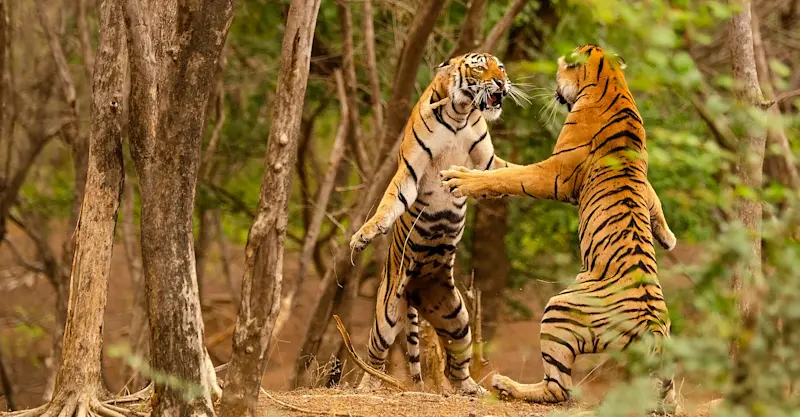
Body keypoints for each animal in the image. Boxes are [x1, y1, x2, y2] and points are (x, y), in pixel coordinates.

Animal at [349, 52, 525, 395]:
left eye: (501, 67)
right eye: (480, 67)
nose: (502, 82)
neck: (460, 115)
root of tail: (415, 291)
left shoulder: (487, 163)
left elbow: (511, 172)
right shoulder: (410, 170)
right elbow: (389, 201)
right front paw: (365, 233)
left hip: (457, 318)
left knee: (457, 364)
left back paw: (472, 389)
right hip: (386, 317)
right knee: (375, 356)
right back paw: (367, 386)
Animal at [440, 44, 680, 412]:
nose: (554, 90)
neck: (611, 82)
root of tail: (652, 325)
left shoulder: (553, 173)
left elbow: (508, 175)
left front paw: (461, 178)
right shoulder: (644, 177)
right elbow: (654, 200)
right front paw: (668, 238)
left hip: (559, 310)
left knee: (558, 390)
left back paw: (506, 385)